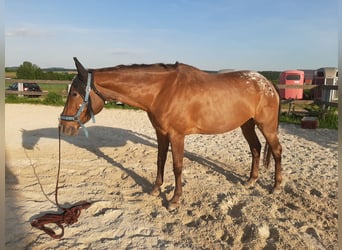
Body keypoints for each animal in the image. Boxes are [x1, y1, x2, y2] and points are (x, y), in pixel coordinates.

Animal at [59, 57, 284, 210]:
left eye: (75, 93)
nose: (63, 127)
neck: (163, 90)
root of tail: (267, 84)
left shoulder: (177, 135)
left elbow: (177, 166)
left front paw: (175, 200)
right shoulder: (161, 133)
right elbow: (160, 161)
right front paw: (155, 189)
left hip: (267, 126)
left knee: (276, 151)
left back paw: (276, 187)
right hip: (247, 125)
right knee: (256, 148)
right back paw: (251, 181)